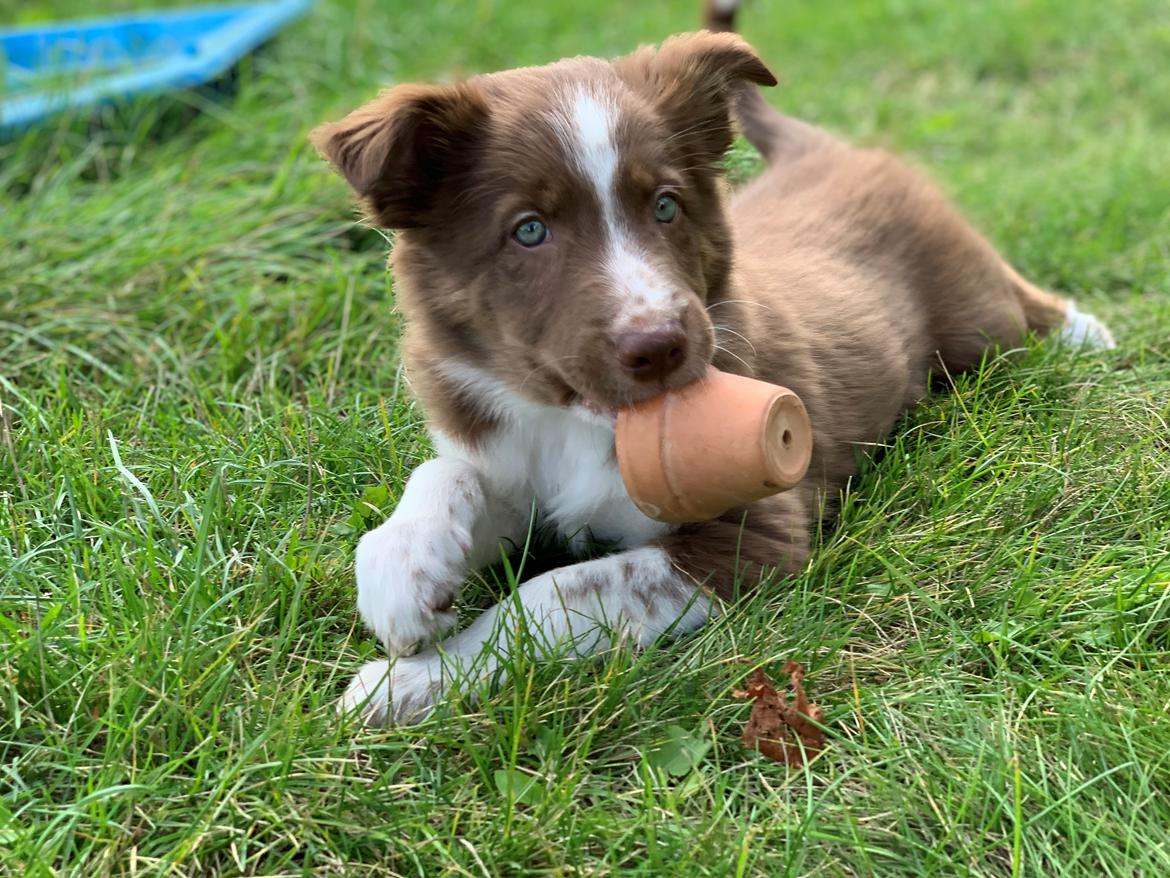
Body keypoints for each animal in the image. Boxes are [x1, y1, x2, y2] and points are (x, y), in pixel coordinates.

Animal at [311, 1, 1113, 730]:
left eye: (666, 206)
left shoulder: (753, 539)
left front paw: (411, 679)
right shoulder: (507, 455)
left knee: (1020, 307)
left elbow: (557, 593)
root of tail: (823, 151)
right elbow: (447, 474)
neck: (572, 421)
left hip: (978, 316)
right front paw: (403, 577)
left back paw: (1089, 333)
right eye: (529, 231)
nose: (660, 344)